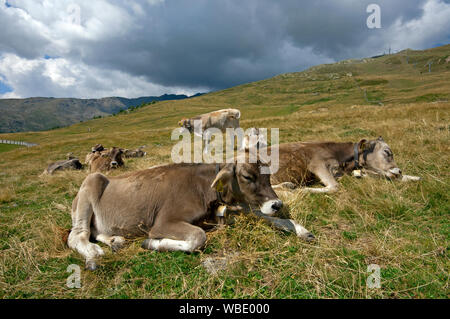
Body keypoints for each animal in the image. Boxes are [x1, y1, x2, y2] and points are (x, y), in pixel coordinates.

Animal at [67, 162, 312, 270]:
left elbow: (263, 215)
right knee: (77, 235)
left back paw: (115, 241)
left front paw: (300, 229)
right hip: (90, 184)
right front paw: (152, 243)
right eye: (247, 176)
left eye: (269, 176)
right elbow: (198, 237)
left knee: (96, 232)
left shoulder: (228, 209)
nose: (277, 203)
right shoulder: (163, 222)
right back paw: (93, 254)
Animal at [268, 137, 420, 194]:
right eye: (387, 152)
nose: (399, 171)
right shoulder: (317, 164)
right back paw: (288, 186)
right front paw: (303, 190)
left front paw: (414, 177)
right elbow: (335, 186)